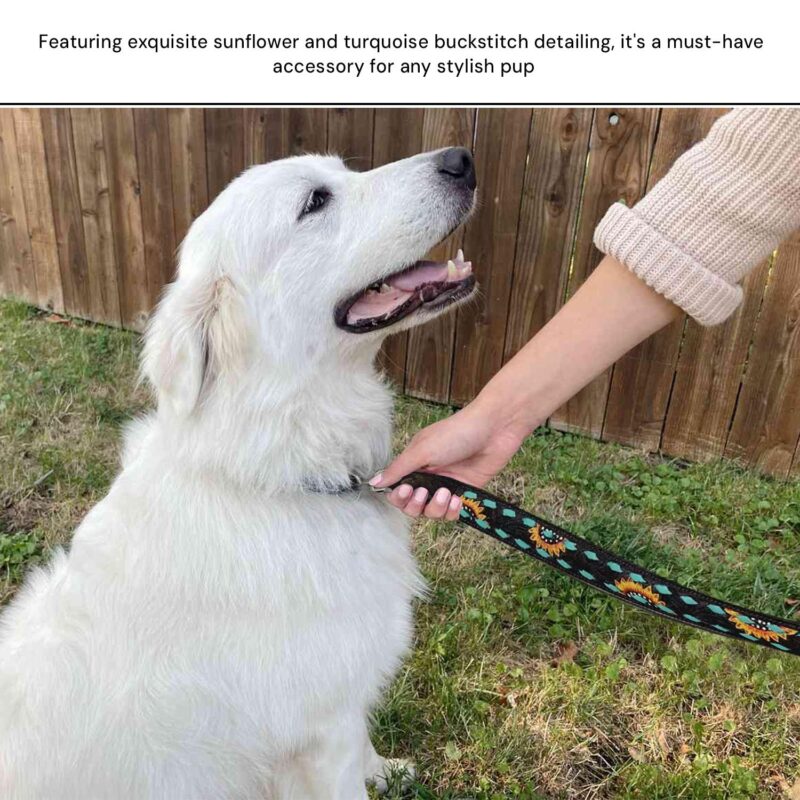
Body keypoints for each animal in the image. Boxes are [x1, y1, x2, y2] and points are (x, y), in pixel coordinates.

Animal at [0, 147, 476, 796]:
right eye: (315, 201)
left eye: (344, 170)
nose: (461, 159)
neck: (281, 469)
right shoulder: (323, 732)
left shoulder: (346, 710)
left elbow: (366, 746)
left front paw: (387, 770)